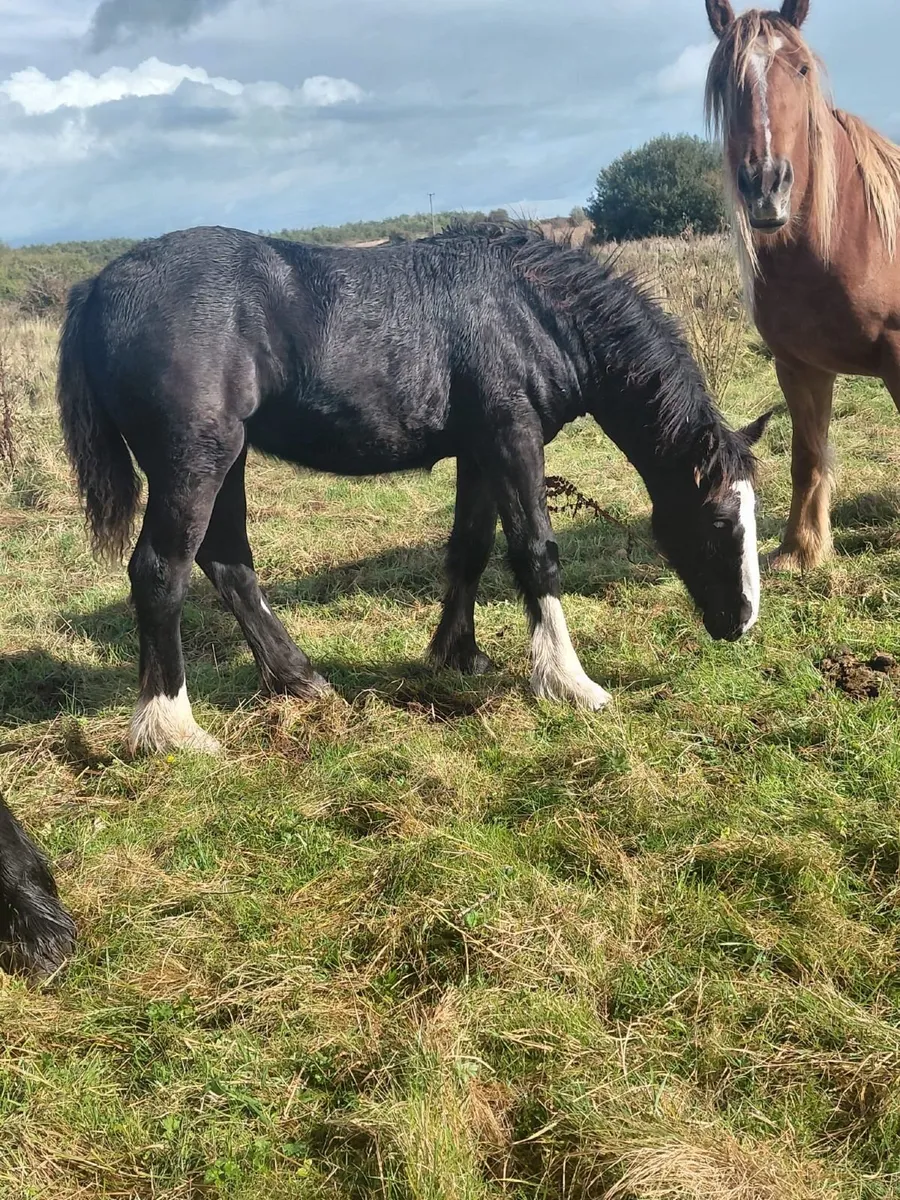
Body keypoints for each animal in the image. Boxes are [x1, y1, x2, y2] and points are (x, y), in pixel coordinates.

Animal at [57, 223, 770, 756]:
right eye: (718, 521)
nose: (741, 623)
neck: (530, 309)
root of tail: (96, 287)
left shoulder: (479, 453)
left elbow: (471, 549)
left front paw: (458, 654)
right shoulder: (513, 441)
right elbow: (536, 551)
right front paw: (569, 681)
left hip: (226, 461)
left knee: (227, 562)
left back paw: (300, 680)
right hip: (195, 461)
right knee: (162, 570)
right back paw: (170, 728)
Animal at [705, 0, 900, 571]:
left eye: (802, 69)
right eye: (724, 81)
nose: (766, 186)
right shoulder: (799, 366)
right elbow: (807, 456)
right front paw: (801, 550)